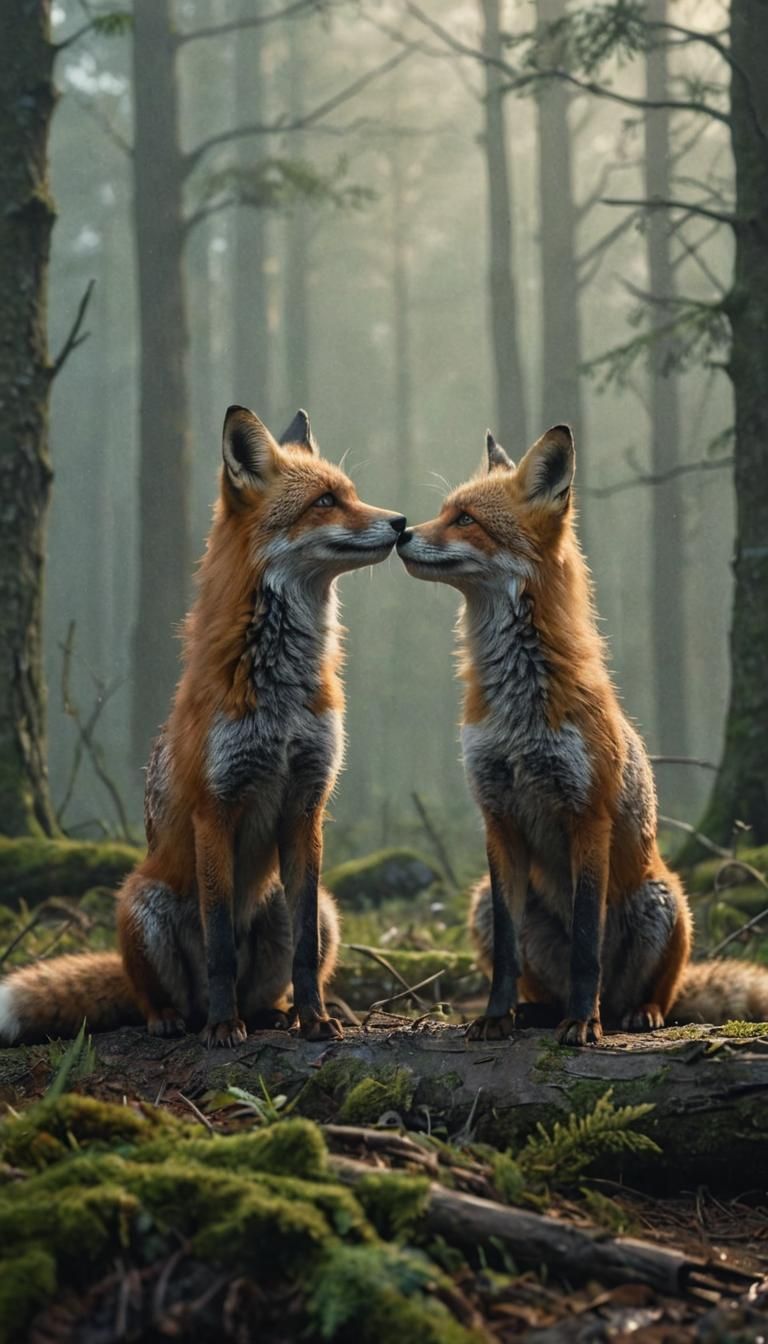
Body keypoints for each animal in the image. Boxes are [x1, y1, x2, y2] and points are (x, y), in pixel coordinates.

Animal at [0, 405, 406, 1048]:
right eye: (325, 501)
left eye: (351, 493)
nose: (401, 523)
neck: (280, 690)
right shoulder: (215, 808)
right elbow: (219, 945)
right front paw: (222, 1028)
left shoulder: (306, 804)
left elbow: (305, 951)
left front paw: (315, 1020)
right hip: (140, 904)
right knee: (155, 995)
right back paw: (180, 1018)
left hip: (313, 905)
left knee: (279, 973)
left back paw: (274, 1013)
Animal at [397, 424, 768, 1045]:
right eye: (444, 511)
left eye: (465, 519)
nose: (400, 530)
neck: (519, 707)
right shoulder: (498, 816)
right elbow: (507, 953)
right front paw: (496, 1017)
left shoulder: (586, 814)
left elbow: (586, 946)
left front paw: (582, 1023)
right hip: (480, 901)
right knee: (533, 971)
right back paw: (536, 1012)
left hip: (665, 902)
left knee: (655, 992)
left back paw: (628, 1013)